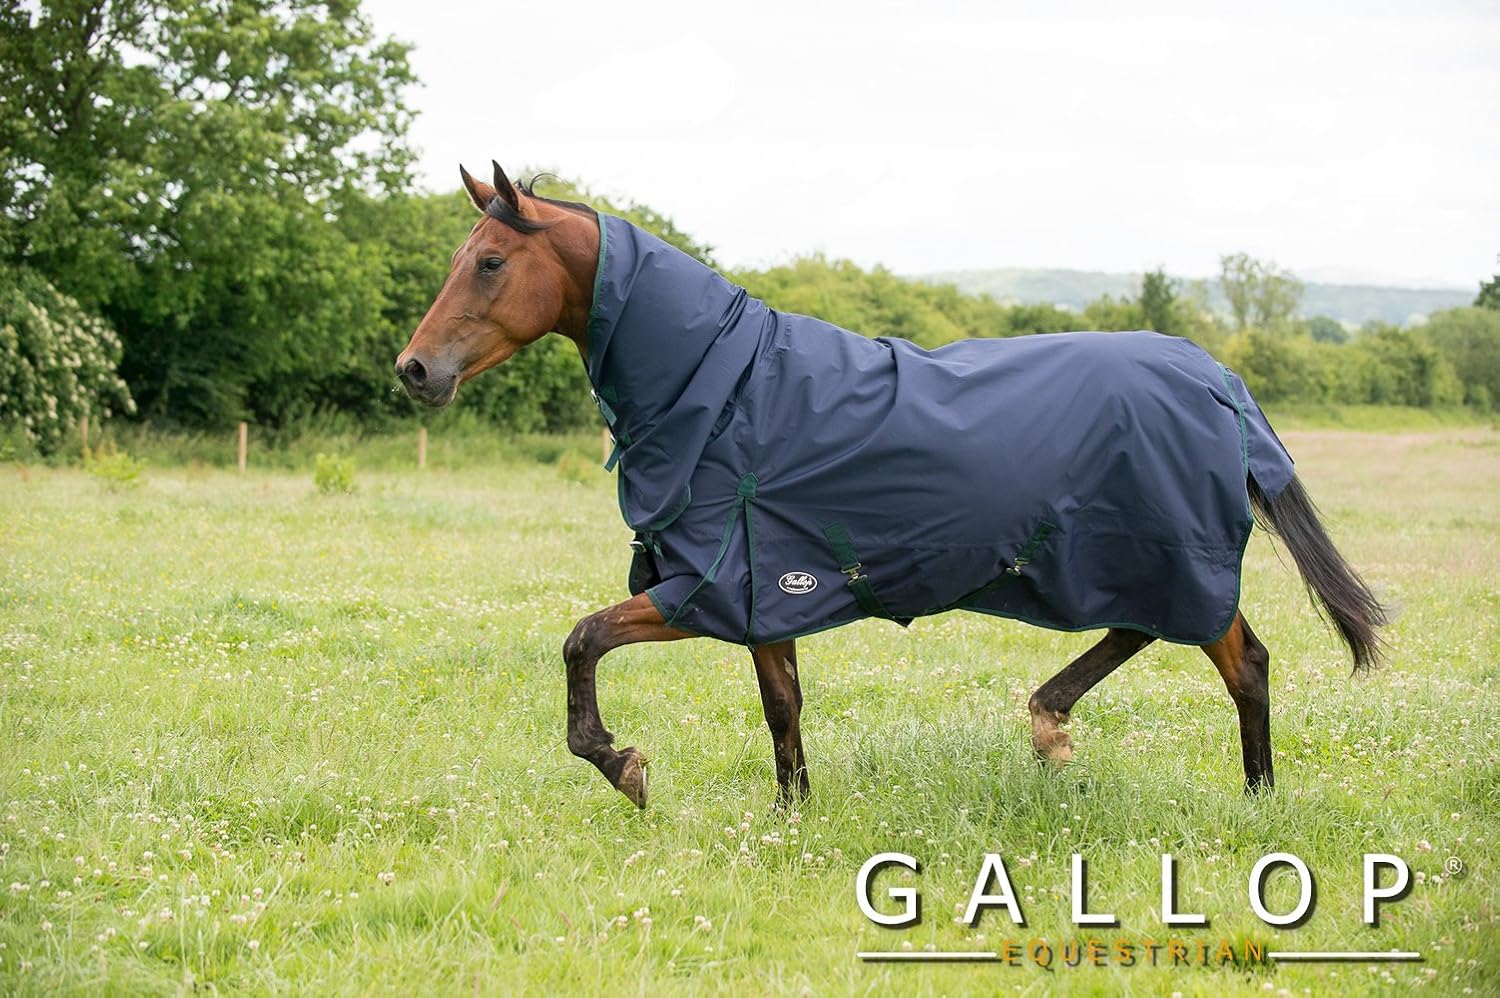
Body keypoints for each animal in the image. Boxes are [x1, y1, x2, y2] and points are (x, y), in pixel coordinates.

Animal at [395, 161, 1386, 810]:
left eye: (490, 262)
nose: (414, 370)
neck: (727, 391)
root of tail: (1214, 375)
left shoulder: (705, 588)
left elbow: (582, 641)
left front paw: (620, 765)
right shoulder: (762, 589)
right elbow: (781, 705)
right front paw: (792, 815)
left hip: (1169, 553)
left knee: (1240, 662)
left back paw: (1253, 801)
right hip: (1128, 555)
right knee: (1147, 630)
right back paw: (1053, 726)